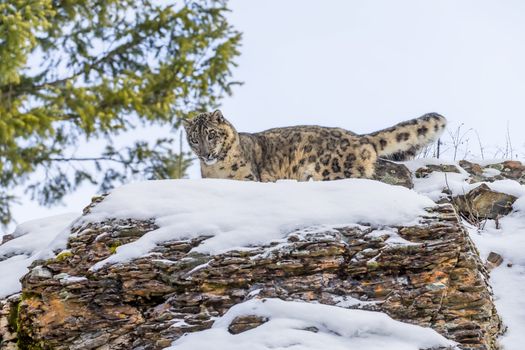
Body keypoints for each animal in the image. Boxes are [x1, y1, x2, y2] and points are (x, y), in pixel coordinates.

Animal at [182, 110, 444, 182]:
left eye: (211, 134)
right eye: (194, 138)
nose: (206, 153)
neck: (217, 169)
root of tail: (359, 137)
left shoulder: (249, 179)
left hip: (330, 172)